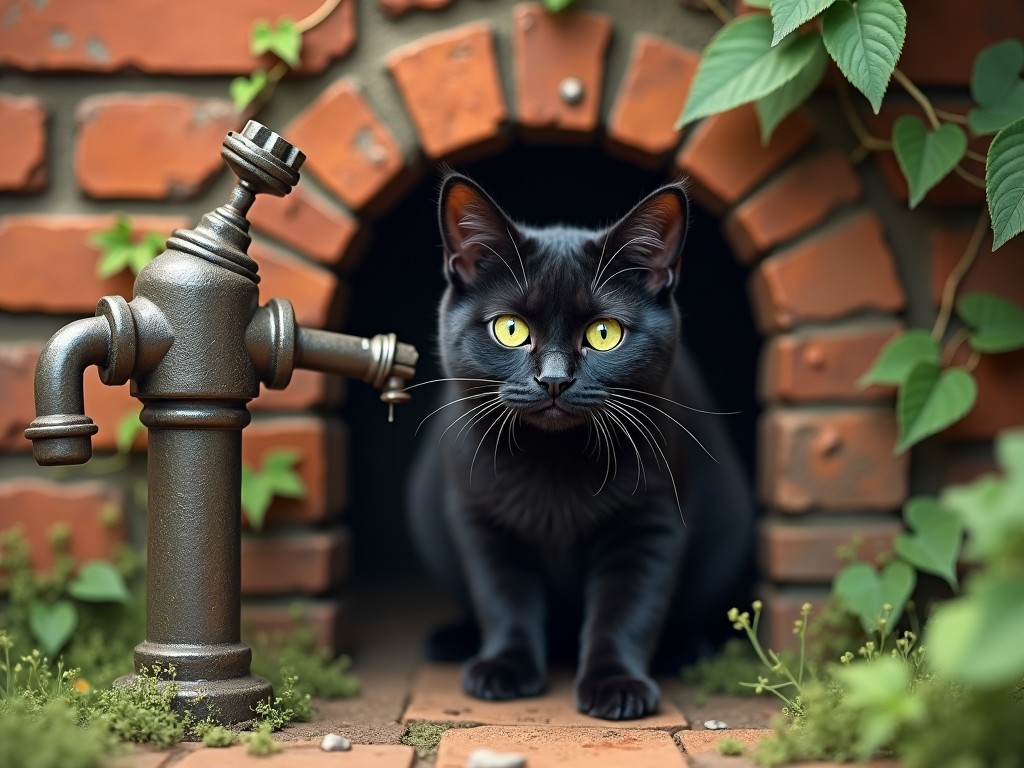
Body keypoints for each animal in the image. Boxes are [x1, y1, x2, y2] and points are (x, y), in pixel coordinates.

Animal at [405, 174, 753, 720]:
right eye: (509, 328)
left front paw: (616, 684)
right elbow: (503, 598)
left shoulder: (649, 522)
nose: (554, 379)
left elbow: (627, 608)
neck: (555, 462)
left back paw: (685, 649)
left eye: (604, 334)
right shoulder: (482, 521)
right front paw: (503, 667)